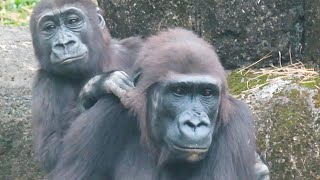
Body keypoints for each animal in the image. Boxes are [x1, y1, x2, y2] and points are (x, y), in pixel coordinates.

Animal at [30, 0, 141, 172]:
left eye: (72, 21)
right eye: (50, 28)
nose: (64, 44)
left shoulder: (135, 47)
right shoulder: (45, 82)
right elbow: (53, 151)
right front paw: (99, 84)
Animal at [49, 28, 270, 179]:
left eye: (206, 93)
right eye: (179, 91)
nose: (195, 123)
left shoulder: (236, 125)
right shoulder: (102, 118)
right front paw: (100, 84)